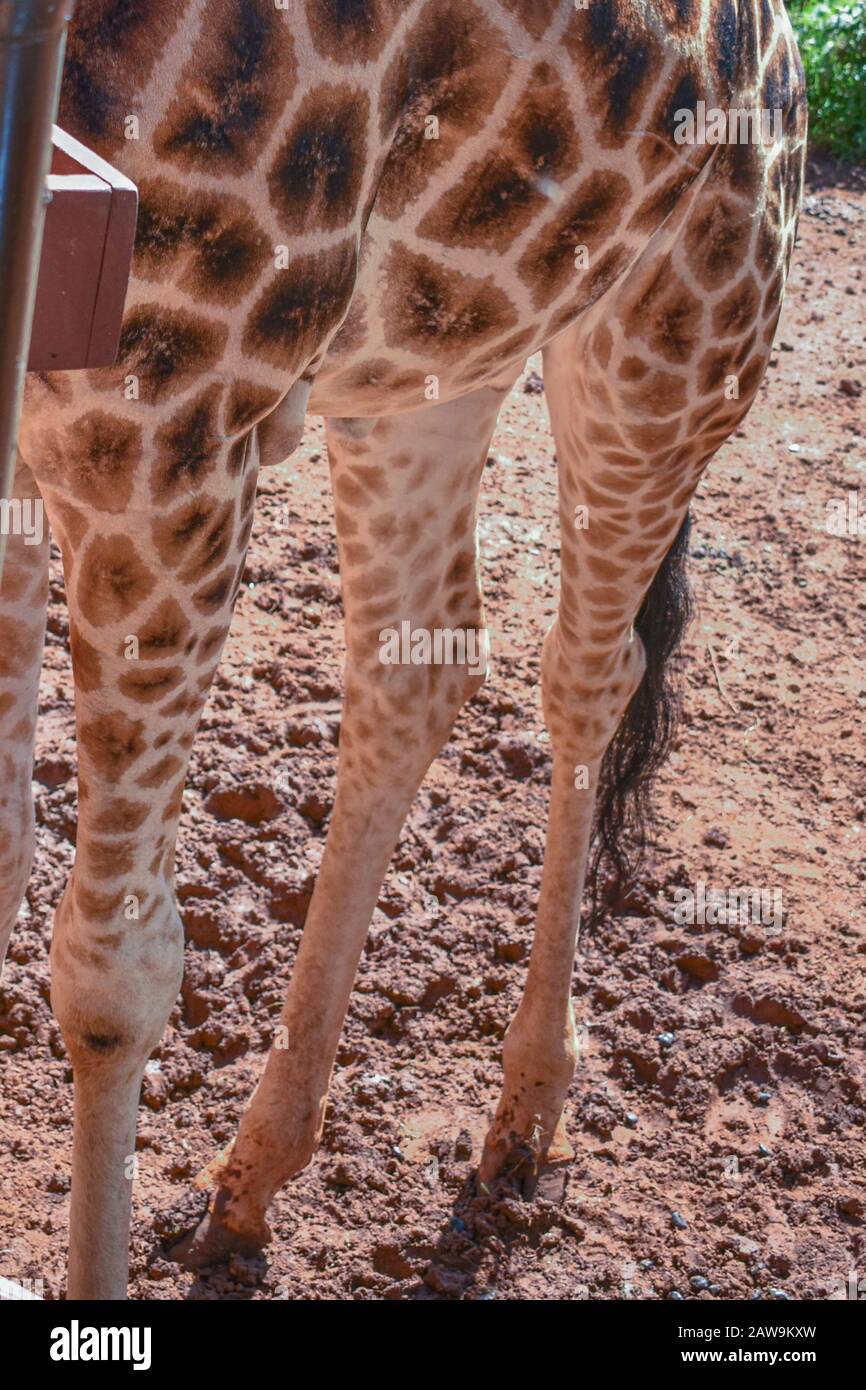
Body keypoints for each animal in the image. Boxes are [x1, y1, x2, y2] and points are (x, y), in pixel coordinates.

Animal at [1, 0, 806, 1301]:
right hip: (427, 357)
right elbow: (9, 853)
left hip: (667, 332)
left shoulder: (165, 417)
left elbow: (116, 972)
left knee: (589, 673)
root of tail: (780, 50)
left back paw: (522, 1115)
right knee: (416, 664)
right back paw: (251, 1176)